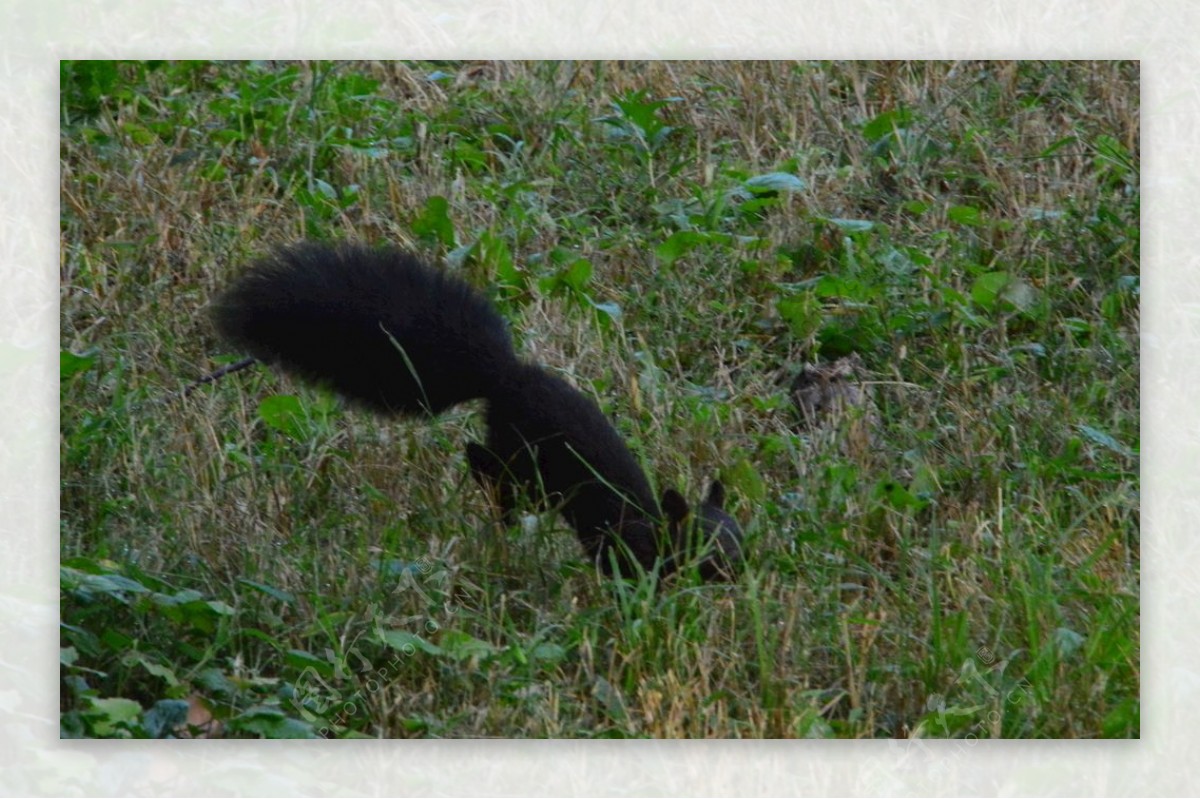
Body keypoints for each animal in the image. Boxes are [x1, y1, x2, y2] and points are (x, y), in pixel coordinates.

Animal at [214, 237, 739, 578]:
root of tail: (504, 375)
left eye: (741, 537)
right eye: (705, 546)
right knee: (488, 464)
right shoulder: (621, 548)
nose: (736, 571)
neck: (650, 527)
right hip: (523, 460)